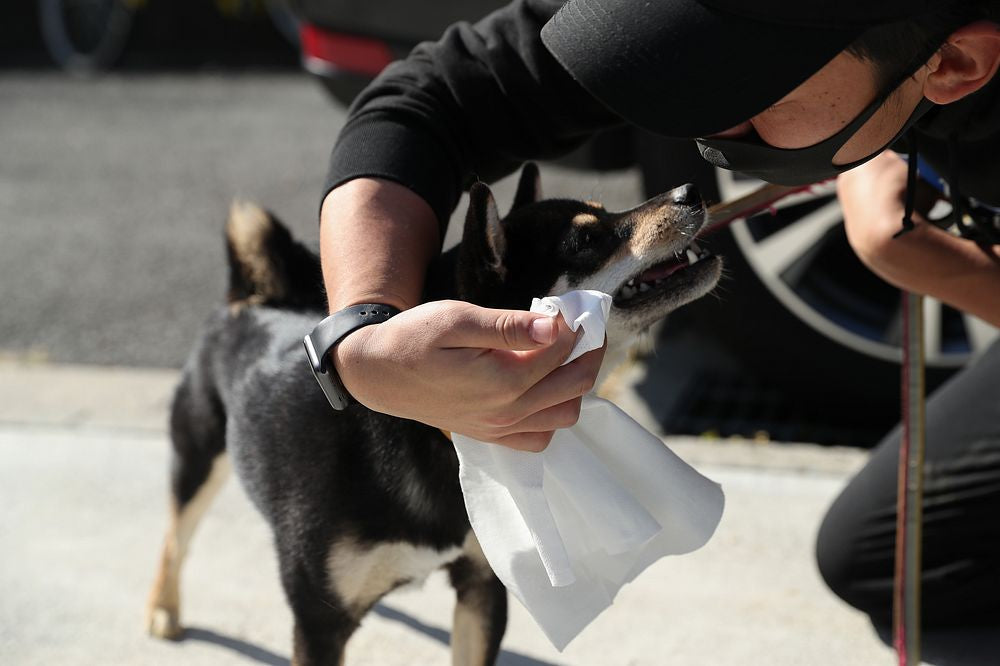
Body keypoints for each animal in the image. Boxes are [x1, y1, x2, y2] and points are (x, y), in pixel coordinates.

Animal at [146, 163, 720, 660]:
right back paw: (163, 608)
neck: (430, 433)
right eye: (586, 241)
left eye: (606, 213)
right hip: (198, 456)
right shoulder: (318, 623)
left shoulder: (481, 589)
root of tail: (252, 297)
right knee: (176, 534)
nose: (691, 191)